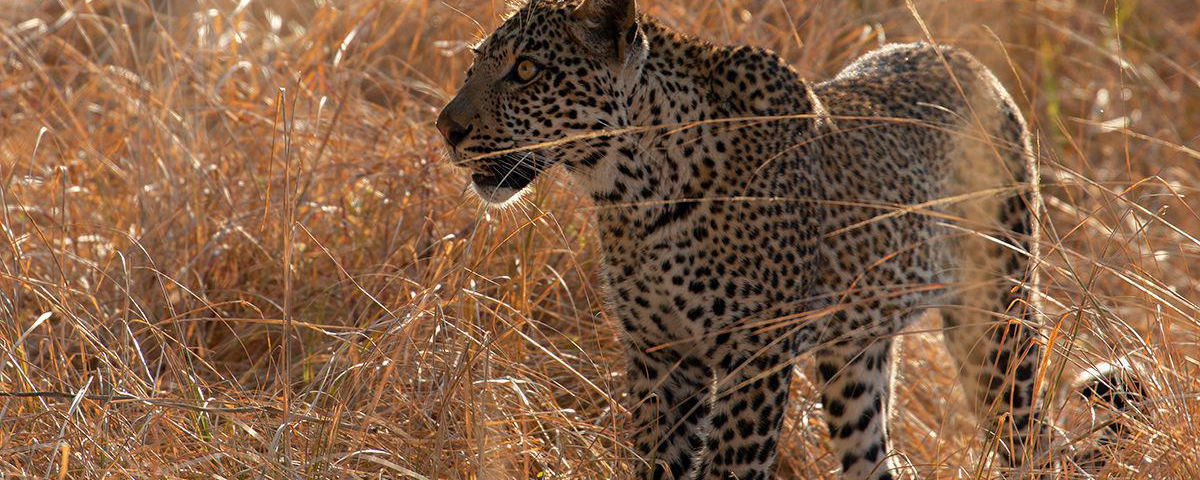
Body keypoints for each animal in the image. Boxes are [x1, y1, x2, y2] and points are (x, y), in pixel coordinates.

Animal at [435, 0, 1141, 478]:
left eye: (526, 70)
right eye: (475, 63)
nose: (446, 128)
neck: (631, 192)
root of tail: (974, 66)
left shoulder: (755, 360)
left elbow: (728, 468)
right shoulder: (660, 360)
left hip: (996, 318)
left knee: (1029, 444)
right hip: (855, 357)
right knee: (874, 457)